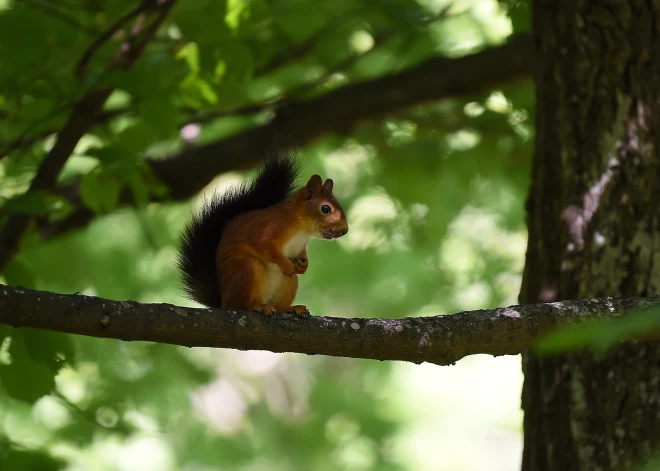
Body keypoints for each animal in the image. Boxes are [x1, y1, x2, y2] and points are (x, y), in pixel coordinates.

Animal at [175, 153, 350, 318]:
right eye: (326, 209)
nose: (345, 230)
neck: (302, 230)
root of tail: (223, 303)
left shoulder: (299, 246)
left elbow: (301, 254)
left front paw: (304, 264)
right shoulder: (266, 228)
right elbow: (264, 246)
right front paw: (285, 264)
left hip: (289, 283)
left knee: (280, 302)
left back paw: (291, 308)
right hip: (247, 270)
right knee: (241, 303)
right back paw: (257, 306)